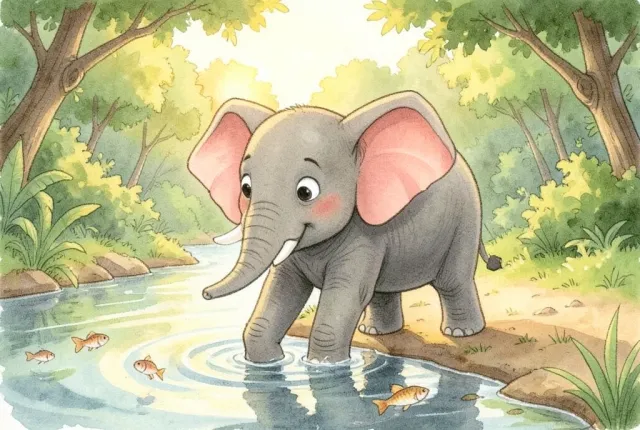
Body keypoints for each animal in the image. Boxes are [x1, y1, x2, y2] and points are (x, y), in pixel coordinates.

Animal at [188, 91, 502, 364]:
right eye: (246, 188)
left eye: (306, 192)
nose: (204, 294)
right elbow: (282, 289)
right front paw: (266, 363)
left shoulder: (363, 234)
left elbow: (346, 291)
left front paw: (323, 366)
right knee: (382, 290)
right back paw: (374, 332)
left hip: (466, 218)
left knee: (452, 281)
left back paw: (460, 332)